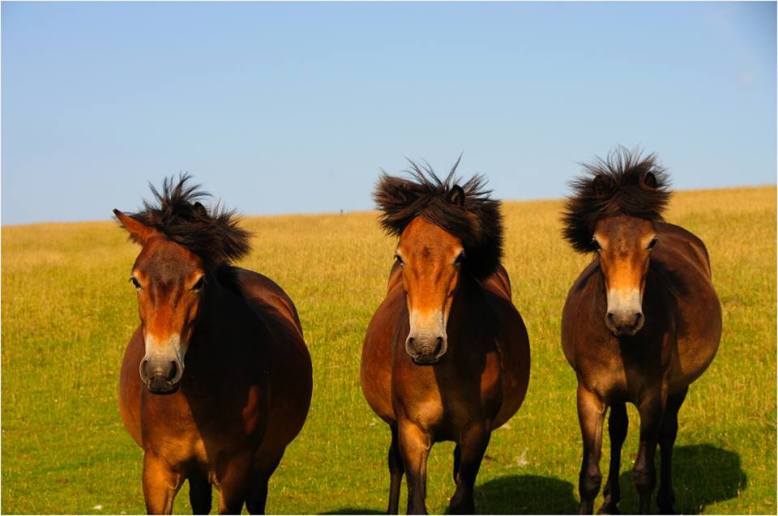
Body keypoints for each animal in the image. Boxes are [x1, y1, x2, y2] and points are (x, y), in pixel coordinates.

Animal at [115, 176, 312, 514]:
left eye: (199, 282)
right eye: (136, 280)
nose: (160, 372)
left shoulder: (235, 471)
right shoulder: (157, 470)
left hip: (267, 458)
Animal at [360, 161, 531, 514]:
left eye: (460, 257)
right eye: (400, 257)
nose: (426, 345)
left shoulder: (476, 432)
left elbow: (461, 497)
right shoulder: (412, 432)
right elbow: (415, 499)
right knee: (394, 465)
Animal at [560, 149, 722, 514]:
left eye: (651, 243)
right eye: (596, 243)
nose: (625, 318)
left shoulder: (652, 395)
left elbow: (645, 472)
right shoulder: (590, 394)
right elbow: (588, 475)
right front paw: (602, 496)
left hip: (677, 386)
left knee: (667, 433)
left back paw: (666, 500)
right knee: (618, 430)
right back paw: (611, 500)